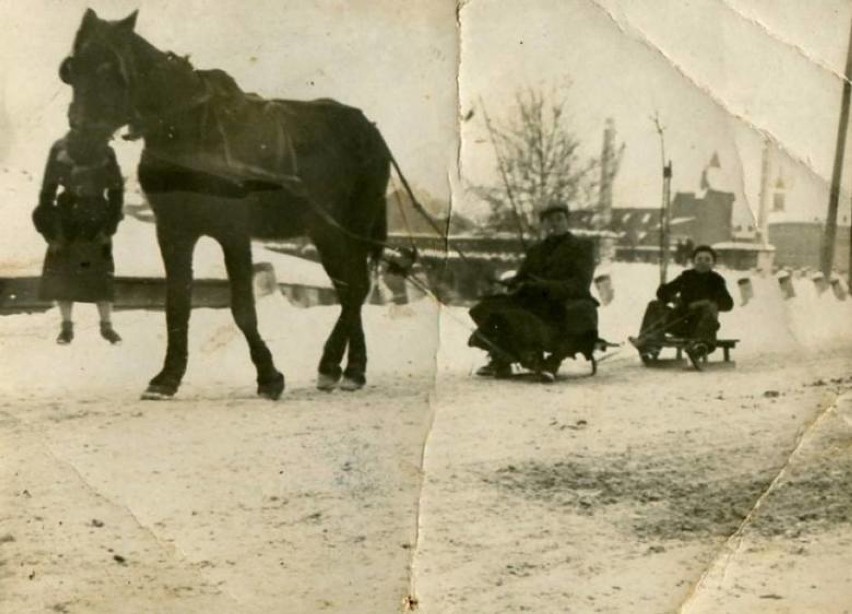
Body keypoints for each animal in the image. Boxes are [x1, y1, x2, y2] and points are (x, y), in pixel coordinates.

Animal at [61, 9, 392, 402]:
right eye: (72, 69)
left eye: (110, 69)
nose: (79, 145)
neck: (187, 129)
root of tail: (368, 127)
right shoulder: (173, 231)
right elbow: (177, 305)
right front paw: (166, 378)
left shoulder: (233, 231)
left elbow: (243, 308)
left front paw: (268, 376)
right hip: (329, 231)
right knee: (350, 287)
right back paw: (352, 369)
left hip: (344, 226)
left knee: (354, 289)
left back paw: (331, 366)